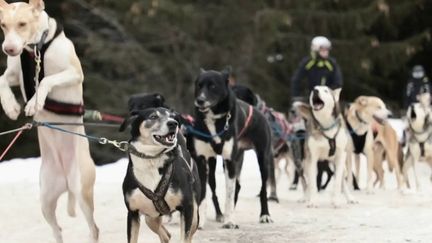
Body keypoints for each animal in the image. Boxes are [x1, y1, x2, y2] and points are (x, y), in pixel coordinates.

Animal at [0, 0, 98, 242]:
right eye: (3, 25)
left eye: (22, 24)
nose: (9, 49)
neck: (35, 48)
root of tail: (66, 181)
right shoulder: (14, 73)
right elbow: (2, 80)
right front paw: (10, 106)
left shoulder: (74, 73)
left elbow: (46, 80)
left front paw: (33, 103)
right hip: (45, 199)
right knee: (57, 230)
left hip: (82, 191)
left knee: (94, 229)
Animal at [120, 108, 201, 243]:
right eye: (153, 116)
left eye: (172, 116)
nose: (173, 123)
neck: (152, 159)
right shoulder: (132, 213)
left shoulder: (187, 208)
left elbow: (184, 237)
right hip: (151, 216)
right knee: (166, 235)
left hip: (194, 214)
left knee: (188, 234)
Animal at [192, 68, 276, 228]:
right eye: (199, 85)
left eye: (212, 86)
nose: (200, 100)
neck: (214, 119)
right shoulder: (202, 160)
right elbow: (203, 195)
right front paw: (200, 222)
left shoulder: (229, 160)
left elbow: (229, 196)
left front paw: (230, 221)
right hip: (223, 162)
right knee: (231, 187)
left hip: (263, 160)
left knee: (262, 189)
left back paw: (265, 215)